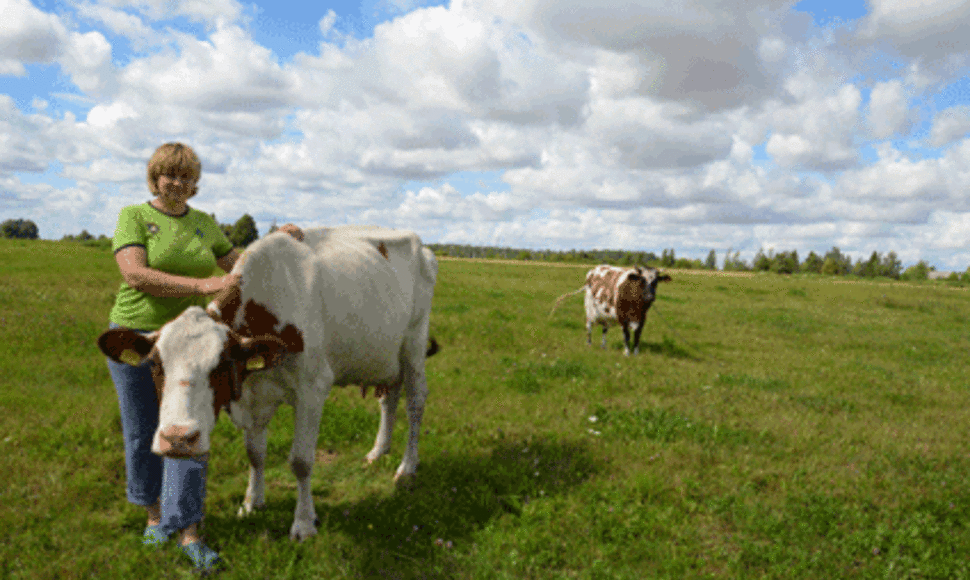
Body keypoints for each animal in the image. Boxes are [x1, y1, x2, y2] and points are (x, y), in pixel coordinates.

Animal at [96, 225, 436, 540]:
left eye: (221, 364)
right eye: (155, 363)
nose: (178, 438)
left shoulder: (313, 388)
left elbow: (301, 461)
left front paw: (303, 523)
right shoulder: (253, 395)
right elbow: (255, 453)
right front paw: (252, 503)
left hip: (414, 346)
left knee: (416, 403)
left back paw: (407, 467)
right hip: (386, 357)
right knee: (389, 398)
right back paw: (379, 451)